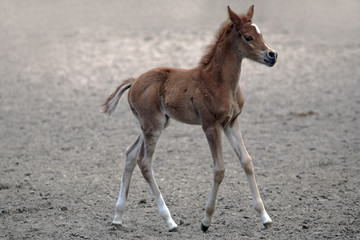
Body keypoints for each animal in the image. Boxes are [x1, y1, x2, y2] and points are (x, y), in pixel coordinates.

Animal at [102, 4, 278, 232]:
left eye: (261, 34)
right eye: (248, 37)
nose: (272, 55)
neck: (219, 82)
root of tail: (134, 81)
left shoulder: (231, 123)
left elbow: (247, 161)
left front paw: (265, 217)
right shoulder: (210, 125)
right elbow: (219, 169)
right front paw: (206, 221)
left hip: (152, 124)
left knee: (130, 154)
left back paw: (117, 217)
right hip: (154, 125)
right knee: (144, 162)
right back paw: (169, 221)